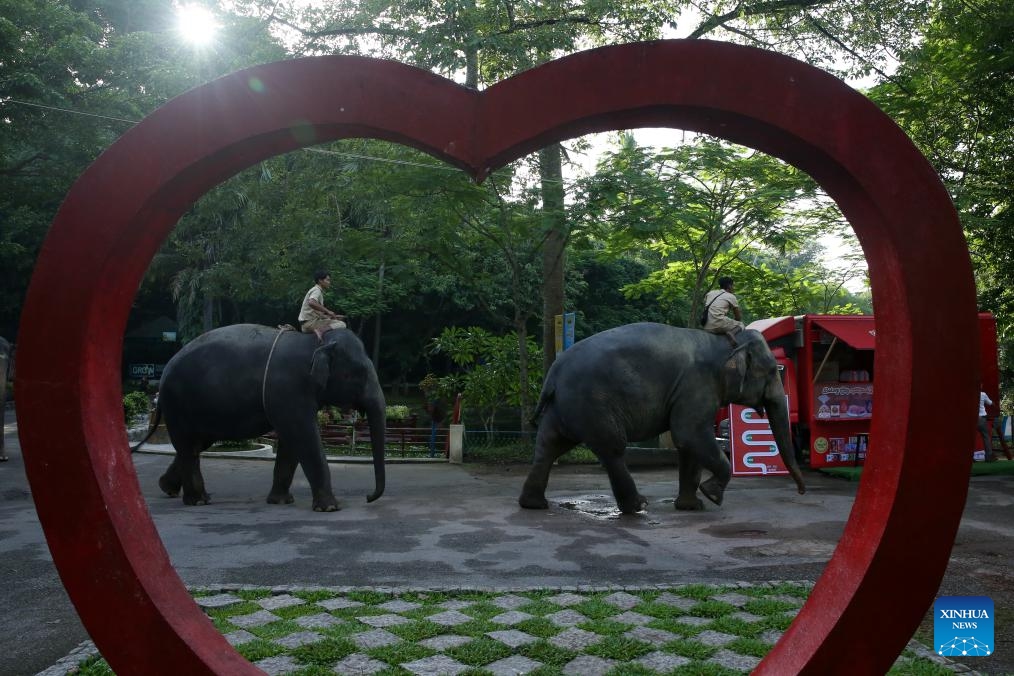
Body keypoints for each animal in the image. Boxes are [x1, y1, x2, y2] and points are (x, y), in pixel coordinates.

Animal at [132, 324, 385, 510]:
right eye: (358, 374)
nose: (367, 497)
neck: (315, 342)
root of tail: (163, 374)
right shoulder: (288, 390)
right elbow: (303, 436)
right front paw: (330, 508)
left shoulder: (289, 397)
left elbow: (291, 443)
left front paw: (281, 502)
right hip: (178, 405)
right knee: (189, 447)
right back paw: (198, 501)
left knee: (196, 445)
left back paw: (169, 488)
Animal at [519, 322, 803, 512]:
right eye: (772, 371)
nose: (802, 491)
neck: (725, 343)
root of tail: (554, 371)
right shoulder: (697, 386)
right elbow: (689, 434)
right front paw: (711, 496)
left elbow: (688, 444)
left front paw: (692, 506)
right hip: (592, 403)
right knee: (612, 449)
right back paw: (638, 506)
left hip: (564, 408)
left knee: (549, 446)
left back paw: (533, 504)